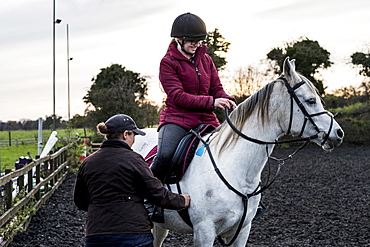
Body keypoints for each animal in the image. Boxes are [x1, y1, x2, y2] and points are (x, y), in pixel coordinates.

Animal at [132, 57, 342, 246]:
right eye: (311, 100)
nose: (338, 133)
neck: (234, 169)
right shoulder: (204, 232)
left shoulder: (241, 231)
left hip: (160, 226)